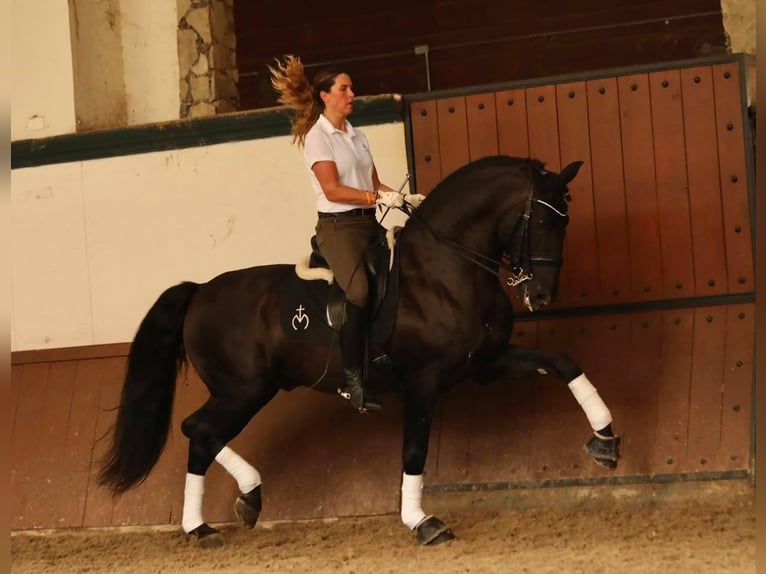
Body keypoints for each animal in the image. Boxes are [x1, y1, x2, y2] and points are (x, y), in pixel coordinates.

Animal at [99, 156, 620, 548]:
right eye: (542, 219)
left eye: (566, 218)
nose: (542, 295)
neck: (445, 270)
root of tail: (201, 290)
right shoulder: (423, 382)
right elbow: (414, 450)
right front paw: (423, 523)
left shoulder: (487, 365)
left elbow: (564, 364)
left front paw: (606, 442)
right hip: (241, 390)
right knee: (199, 430)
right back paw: (203, 526)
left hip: (251, 389)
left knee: (199, 432)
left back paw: (242, 503)